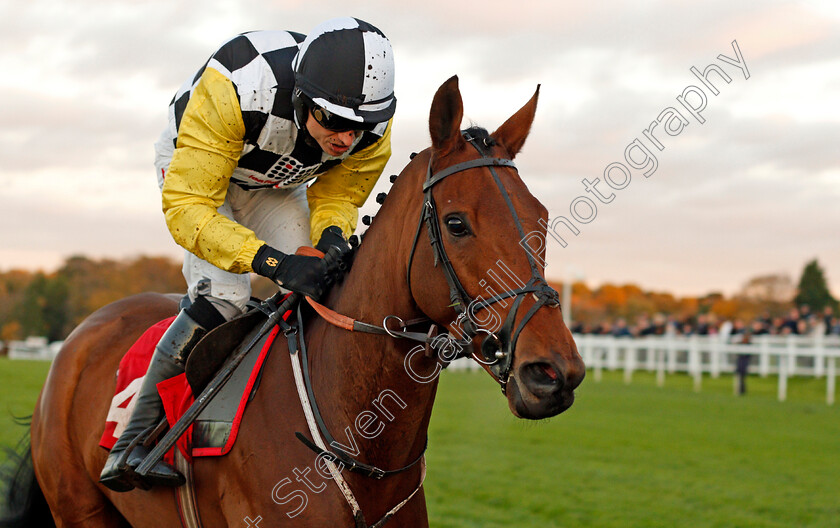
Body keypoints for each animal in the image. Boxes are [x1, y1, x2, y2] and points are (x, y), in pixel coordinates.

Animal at [4, 75, 584, 528]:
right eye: (457, 223)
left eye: (541, 219)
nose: (554, 373)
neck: (361, 443)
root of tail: (81, 336)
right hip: (80, 509)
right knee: (212, 296)